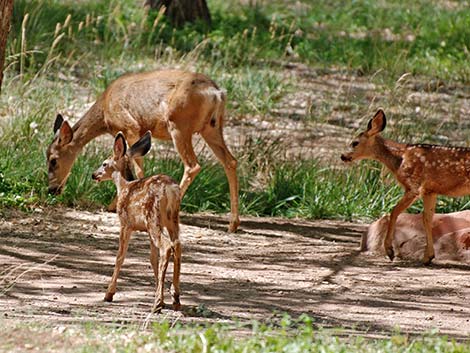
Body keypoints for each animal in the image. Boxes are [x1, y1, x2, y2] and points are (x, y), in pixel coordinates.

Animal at [47, 69, 241, 234]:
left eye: (53, 160)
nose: (51, 189)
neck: (105, 111)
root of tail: (217, 93)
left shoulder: (131, 127)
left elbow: (136, 168)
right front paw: (113, 205)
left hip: (179, 124)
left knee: (192, 165)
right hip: (212, 127)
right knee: (230, 161)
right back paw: (233, 224)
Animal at [92, 131, 182, 312]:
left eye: (104, 163)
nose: (94, 174)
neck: (124, 186)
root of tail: (170, 190)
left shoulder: (125, 223)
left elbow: (120, 256)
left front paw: (109, 294)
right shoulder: (146, 230)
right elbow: (152, 258)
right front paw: (161, 293)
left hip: (153, 217)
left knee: (167, 246)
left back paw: (157, 303)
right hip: (171, 220)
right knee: (176, 245)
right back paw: (175, 297)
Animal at [340, 109, 470, 264]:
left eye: (355, 143)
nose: (343, 156)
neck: (399, 159)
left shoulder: (413, 186)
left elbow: (394, 211)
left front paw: (390, 251)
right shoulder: (429, 191)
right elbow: (427, 219)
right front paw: (428, 257)